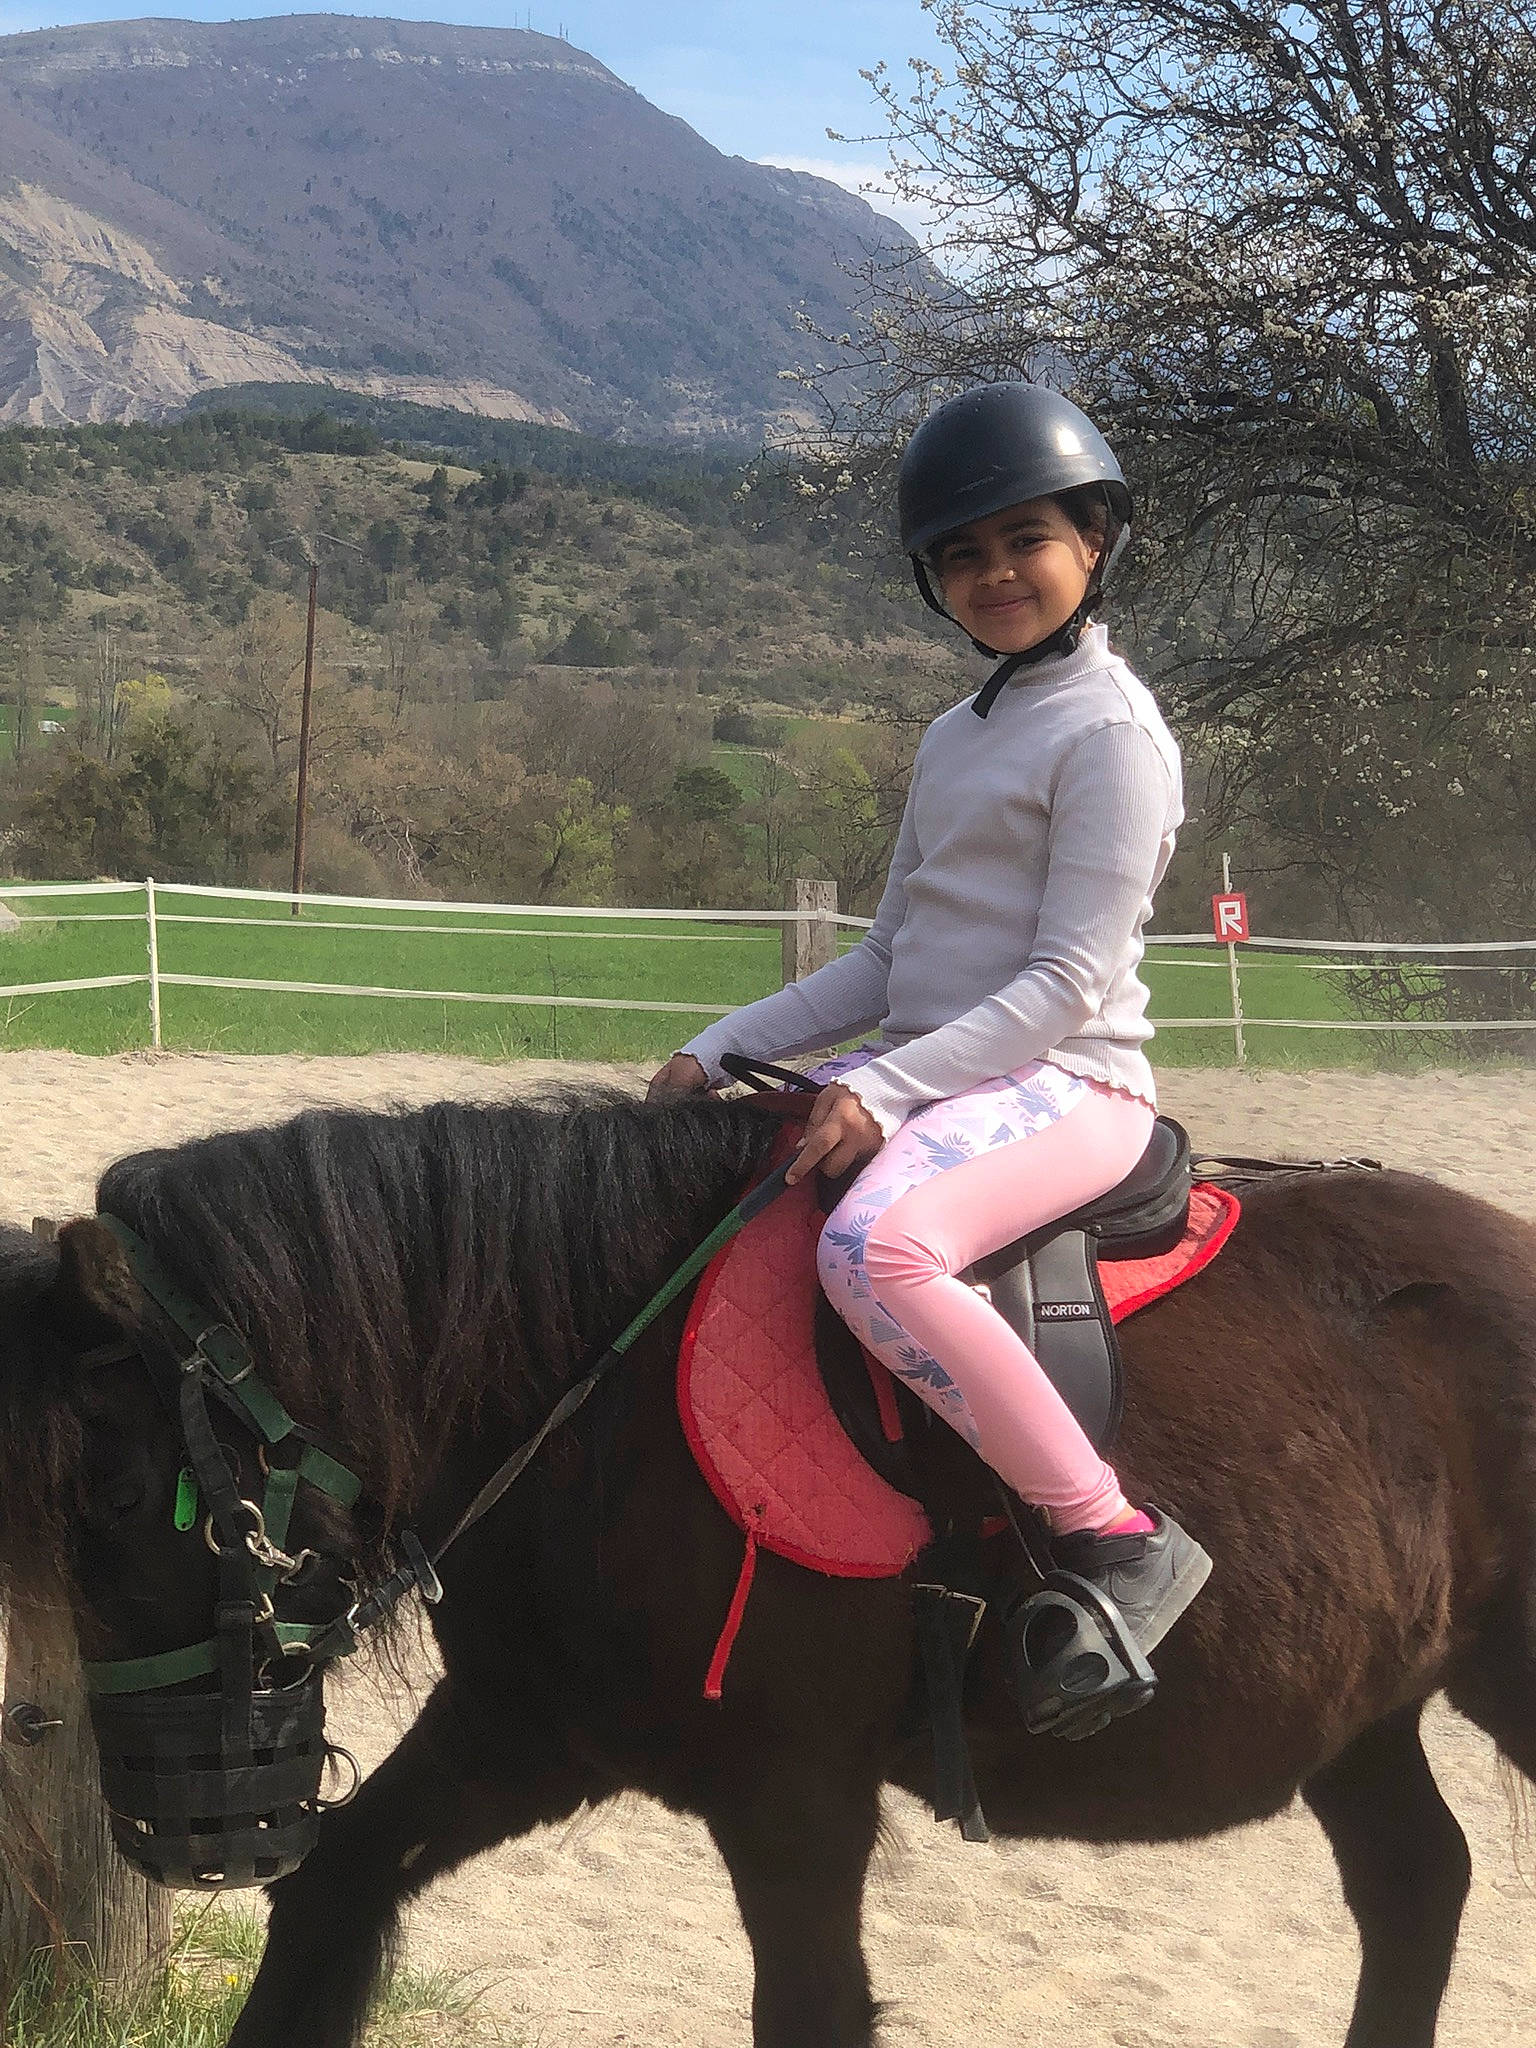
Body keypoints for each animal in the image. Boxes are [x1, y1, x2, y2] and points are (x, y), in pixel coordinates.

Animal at [1, 1085, 1534, 2048]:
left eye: (125, 1493)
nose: (176, 1832)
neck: (584, 1384)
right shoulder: (518, 1733)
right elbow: (329, 1900)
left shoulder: (796, 1800)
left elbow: (809, 2013)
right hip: (1361, 1713)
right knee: (1418, 1885)